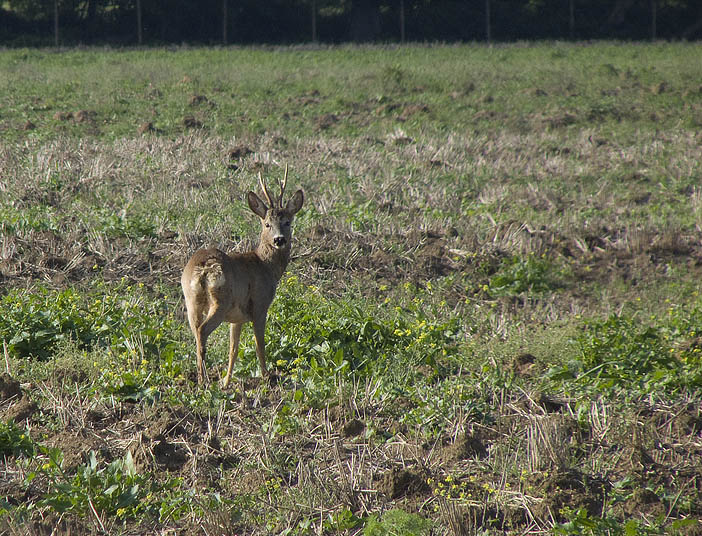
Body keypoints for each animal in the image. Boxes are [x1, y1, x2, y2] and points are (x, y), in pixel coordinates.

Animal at [180, 166, 304, 386]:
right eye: (267, 224)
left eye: (287, 222)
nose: (279, 240)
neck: (266, 265)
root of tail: (204, 268)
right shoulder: (260, 305)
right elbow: (259, 344)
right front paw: (266, 377)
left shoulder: (236, 318)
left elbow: (233, 349)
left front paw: (226, 382)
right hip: (221, 300)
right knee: (203, 331)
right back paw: (204, 381)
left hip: (192, 300)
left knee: (195, 332)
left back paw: (202, 377)